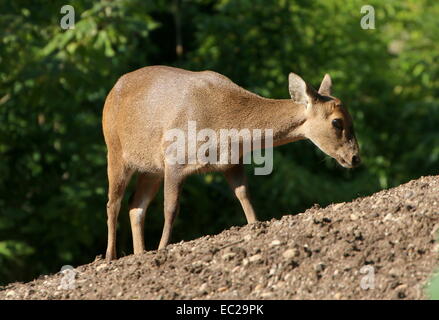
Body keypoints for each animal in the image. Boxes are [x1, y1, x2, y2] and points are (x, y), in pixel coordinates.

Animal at [103, 65, 360, 260]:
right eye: (337, 122)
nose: (356, 157)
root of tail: (111, 92)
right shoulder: (175, 158)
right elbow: (171, 208)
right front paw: (163, 248)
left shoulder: (232, 162)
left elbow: (245, 196)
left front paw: (256, 227)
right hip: (115, 150)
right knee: (113, 203)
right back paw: (109, 257)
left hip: (151, 168)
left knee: (136, 204)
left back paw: (139, 253)